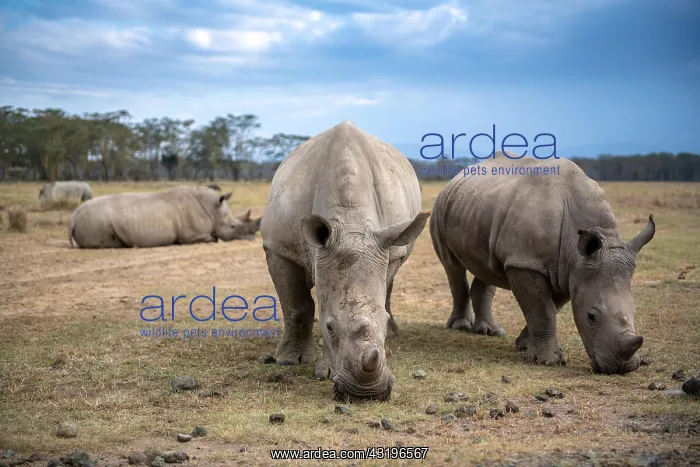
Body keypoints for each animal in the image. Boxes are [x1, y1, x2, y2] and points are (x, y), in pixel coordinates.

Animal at [68, 185, 261, 248]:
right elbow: (213, 239)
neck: (213, 209)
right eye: (233, 227)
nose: (252, 238)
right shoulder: (193, 236)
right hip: (96, 221)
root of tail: (74, 215)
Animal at [260, 121, 430, 401]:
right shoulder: (279, 248)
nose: (366, 393)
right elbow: (296, 306)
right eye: (329, 327)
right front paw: (290, 360)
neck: (350, 222)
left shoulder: (385, 245)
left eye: (383, 321)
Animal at [430, 154, 655, 374]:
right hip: (440, 207)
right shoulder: (526, 262)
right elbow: (542, 310)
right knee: (453, 267)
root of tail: (456, 177)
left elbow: (551, 308)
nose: (622, 368)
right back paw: (460, 327)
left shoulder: (569, 271)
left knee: (486, 267)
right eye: (591, 317)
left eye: (635, 313)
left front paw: (525, 346)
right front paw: (548, 361)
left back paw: (492, 331)